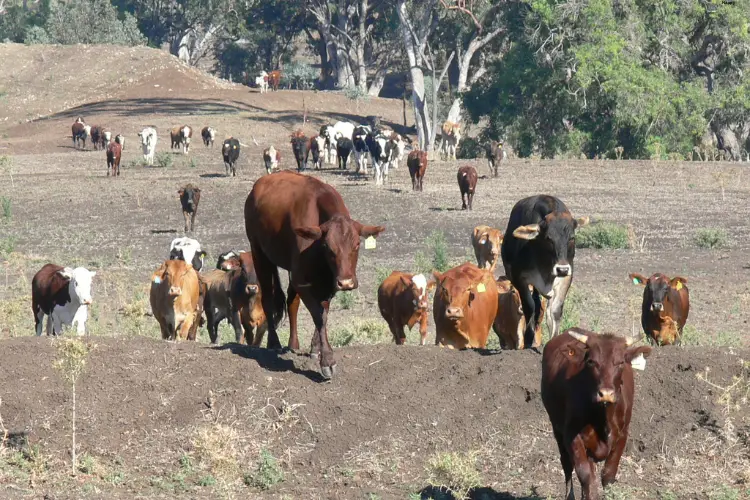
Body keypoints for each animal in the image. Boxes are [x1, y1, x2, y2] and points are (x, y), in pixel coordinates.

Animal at [245, 171, 388, 378]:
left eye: (357, 244)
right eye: (328, 246)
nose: (346, 283)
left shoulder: (329, 282)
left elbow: (324, 312)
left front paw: (315, 349)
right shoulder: (302, 281)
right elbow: (318, 316)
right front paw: (327, 361)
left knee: (292, 302)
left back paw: (293, 344)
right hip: (259, 254)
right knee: (269, 299)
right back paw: (274, 342)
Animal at [502, 195, 592, 348]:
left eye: (572, 238)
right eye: (549, 238)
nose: (562, 269)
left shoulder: (566, 278)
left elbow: (554, 311)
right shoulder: (520, 279)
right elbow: (530, 307)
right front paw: (528, 341)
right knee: (536, 306)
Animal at [544, 328, 656, 500]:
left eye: (620, 362)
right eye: (591, 362)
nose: (606, 394)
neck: (603, 417)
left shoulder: (623, 434)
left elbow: (608, 475)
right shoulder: (571, 435)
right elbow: (586, 475)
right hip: (556, 426)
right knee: (567, 465)